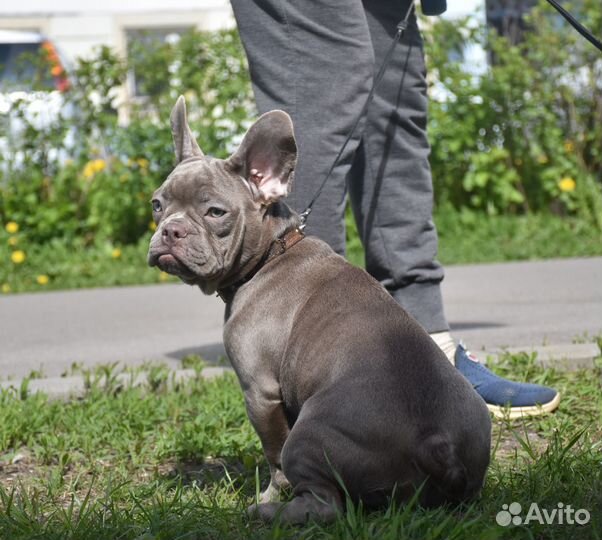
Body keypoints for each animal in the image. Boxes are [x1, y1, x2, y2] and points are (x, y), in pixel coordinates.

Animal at [148, 96, 490, 524]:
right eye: (157, 205)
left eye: (215, 213)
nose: (170, 230)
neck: (273, 250)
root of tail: (438, 446)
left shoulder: (259, 391)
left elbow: (273, 455)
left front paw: (269, 493)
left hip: (308, 436)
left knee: (326, 504)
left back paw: (269, 512)